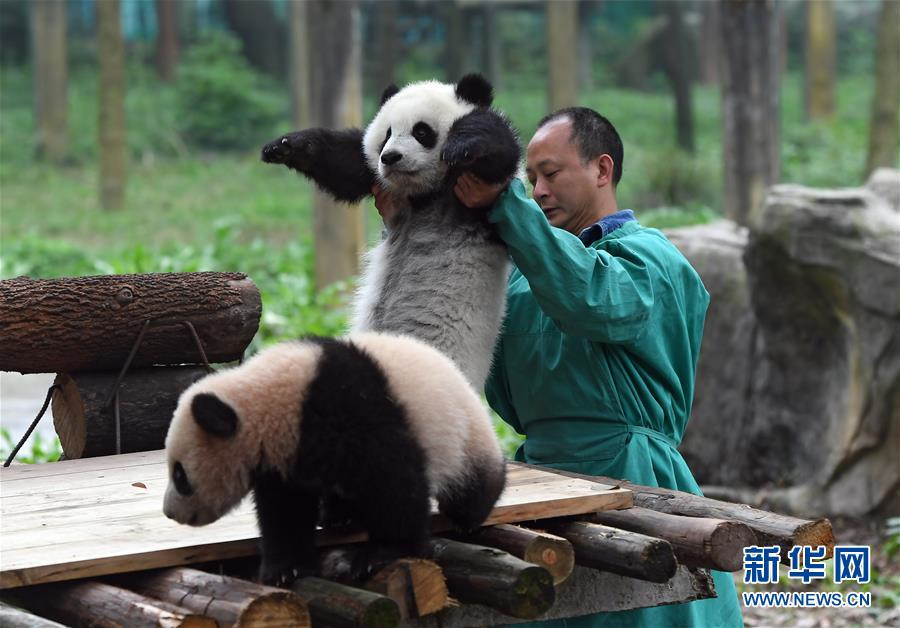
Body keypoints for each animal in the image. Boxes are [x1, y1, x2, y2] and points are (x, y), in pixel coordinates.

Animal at [162, 332, 506, 586]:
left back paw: (467, 515)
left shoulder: (354, 412)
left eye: (180, 474)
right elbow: (285, 511)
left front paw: (381, 554)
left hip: (462, 436)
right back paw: (339, 516)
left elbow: (394, 484)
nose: (169, 512)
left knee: (472, 482)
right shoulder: (285, 455)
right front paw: (285, 568)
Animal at [261, 74, 520, 389]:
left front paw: (463, 144)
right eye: (387, 134)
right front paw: (285, 146)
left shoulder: (480, 198)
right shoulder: (373, 174)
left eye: (422, 131)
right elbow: (347, 163)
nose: (391, 157)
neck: (426, 193)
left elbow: (499, 152)